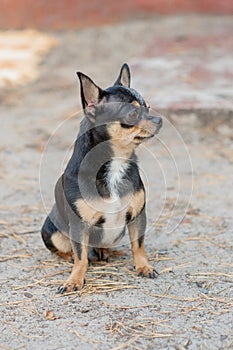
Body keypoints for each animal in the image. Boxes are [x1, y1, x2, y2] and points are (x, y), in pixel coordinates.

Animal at [41, 64, 162, 294]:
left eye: (149, 107)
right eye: (133, 113)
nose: (159, 120)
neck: (116, 161)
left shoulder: (137, 216)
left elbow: (138, 245)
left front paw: (143, 266)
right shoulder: (79, 226)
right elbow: (81, 257)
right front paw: (75, 280)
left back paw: (106, 252)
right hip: (50, 231)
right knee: (68, 250)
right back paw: (71, 257)